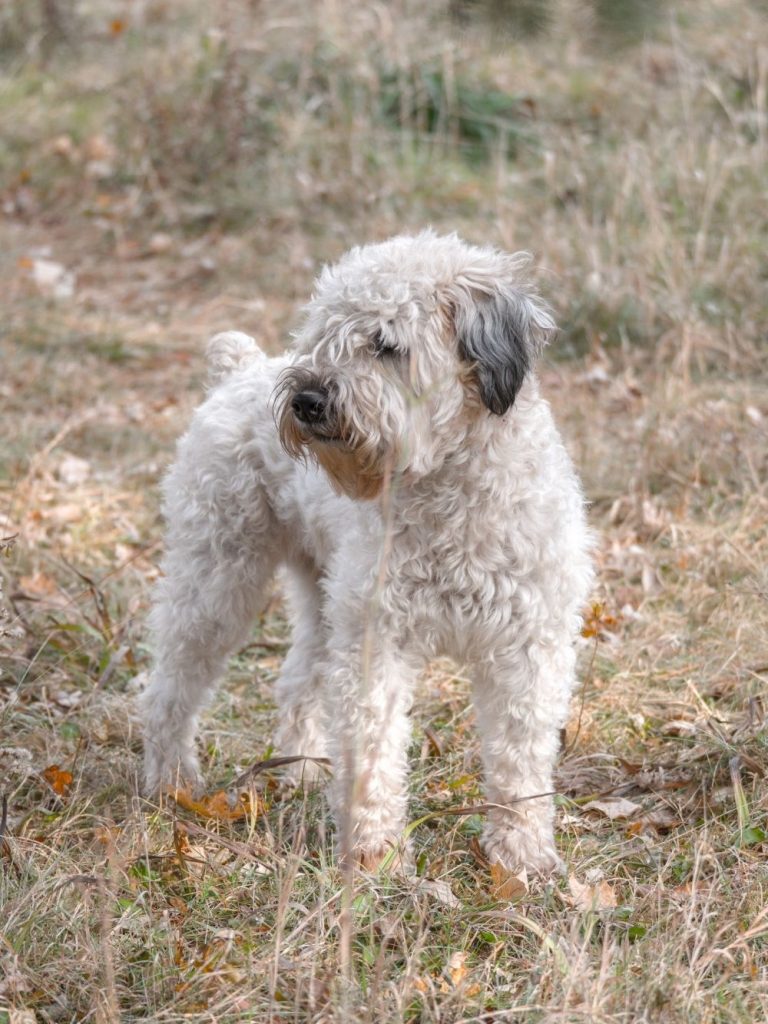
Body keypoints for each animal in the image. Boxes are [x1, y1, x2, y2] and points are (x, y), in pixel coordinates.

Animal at [140, 230, 593, 872]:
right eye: (322, 334)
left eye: (385, 344)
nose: (306, 400)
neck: (451, 491)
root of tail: (240, 370)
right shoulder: (377, 641)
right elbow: (372, 749)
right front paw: (376, 856)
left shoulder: (529, 647)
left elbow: (520, 759)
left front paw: (521, 854)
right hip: (218, 578)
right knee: (172, 686)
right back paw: (172, 783)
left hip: (321, 595)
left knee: (297, 678)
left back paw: (301, 769)